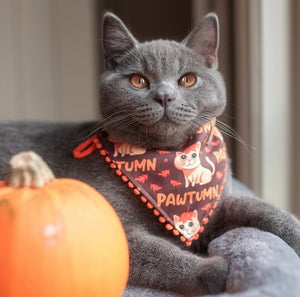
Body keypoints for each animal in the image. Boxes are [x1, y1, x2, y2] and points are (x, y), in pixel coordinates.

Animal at [0, 12, 300, 294]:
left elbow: (260, 207)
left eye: (187, 79)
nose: (164, 95)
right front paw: (210, 269)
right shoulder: (116, 231)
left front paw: (295, 233)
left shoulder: (215, 205)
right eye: (138, 80)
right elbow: (158, 251)